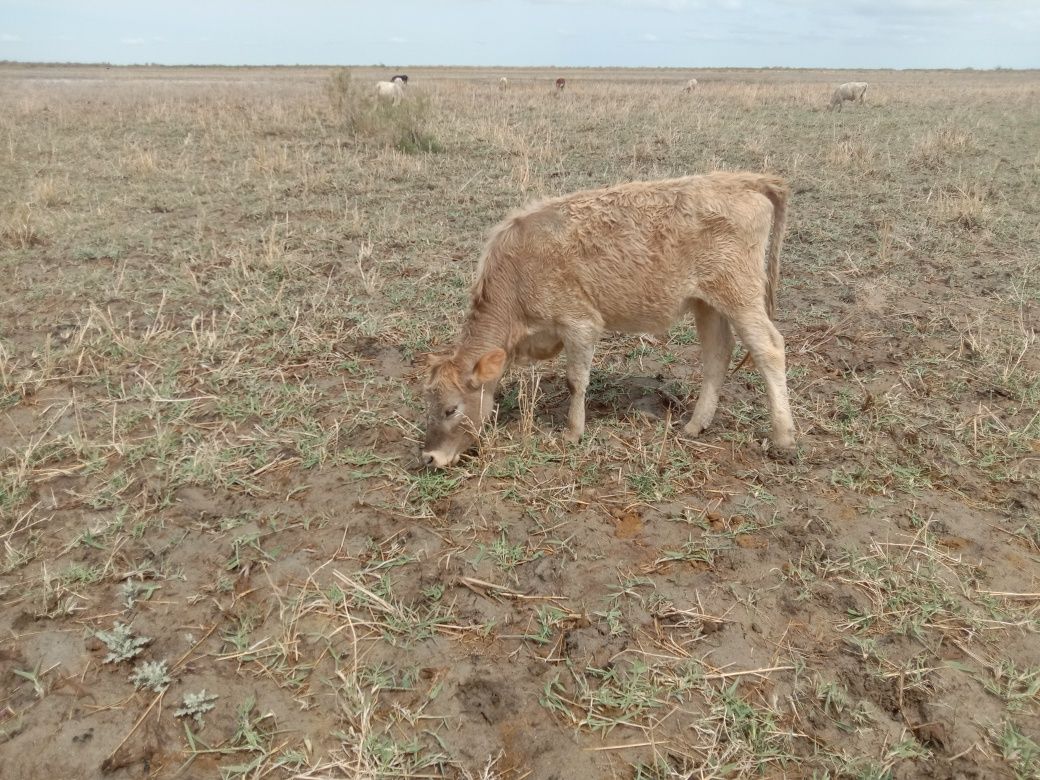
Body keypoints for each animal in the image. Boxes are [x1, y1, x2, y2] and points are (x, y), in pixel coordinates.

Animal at [418, 172, 790, 470]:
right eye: (428, 406)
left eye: (451, 409)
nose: (429, 457)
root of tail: (740, 179)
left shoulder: (580, 323)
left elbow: (575, 381)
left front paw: (572, 433)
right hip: (708, 303)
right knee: (717, 355)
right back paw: (696, 425)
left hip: (740, 295)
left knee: (769, 348)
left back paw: (783, 437)